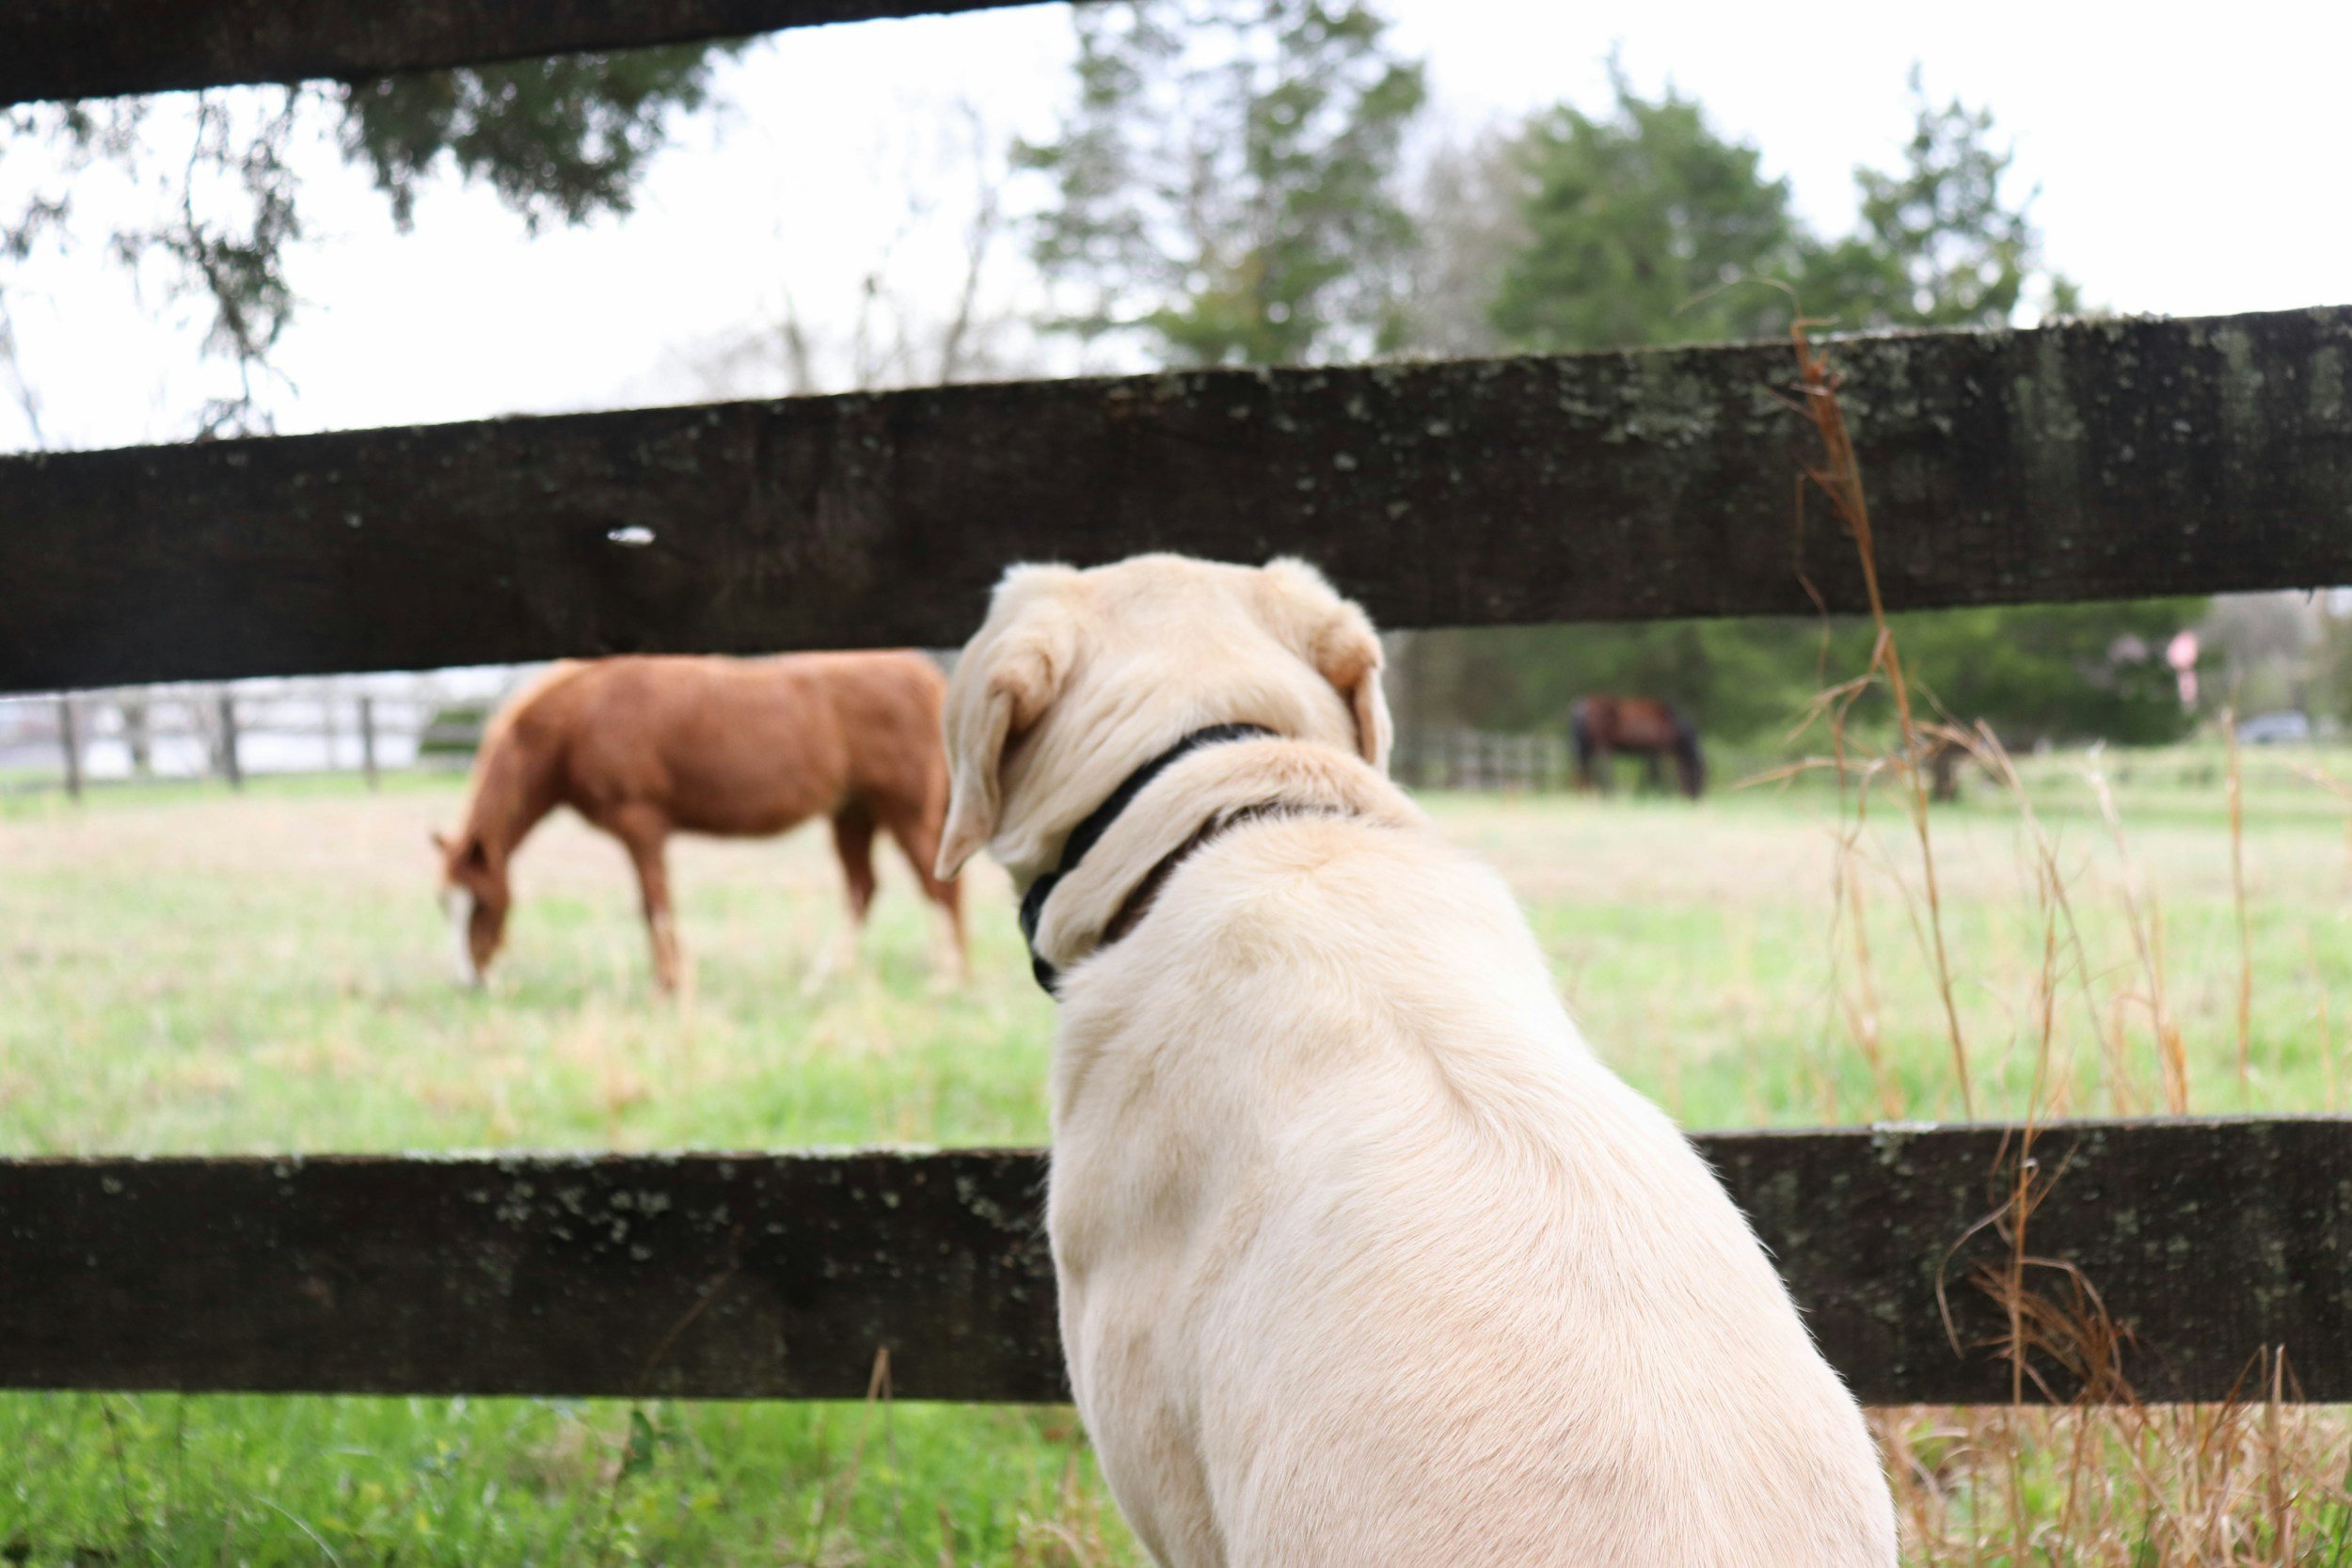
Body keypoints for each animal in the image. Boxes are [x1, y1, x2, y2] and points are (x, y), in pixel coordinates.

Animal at [431, 651, 966, 993]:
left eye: (482, 904)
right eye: (445, 907)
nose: (471, 983)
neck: (580, 716)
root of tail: (929, 680)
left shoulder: (641, 825)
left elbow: (655, 906)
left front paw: (669, 984)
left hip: (902, 811)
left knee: (939, 886)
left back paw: (951, 978)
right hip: (854, 812)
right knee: (863, 890)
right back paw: (824, 978)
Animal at [1569, 695, 1705, 799]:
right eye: (1698, 773)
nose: (1696, 797)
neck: (1674, 726)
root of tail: (1579, 708)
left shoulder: (1650, 751)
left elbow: (1652, 772)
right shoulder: (1659, 749)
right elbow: (1659, 773)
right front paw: (1663, 792)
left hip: (1585, 747)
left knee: (1581, 767)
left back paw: (1584, 793)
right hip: (1600, 743)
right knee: (1602, 766)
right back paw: (1608, 792)